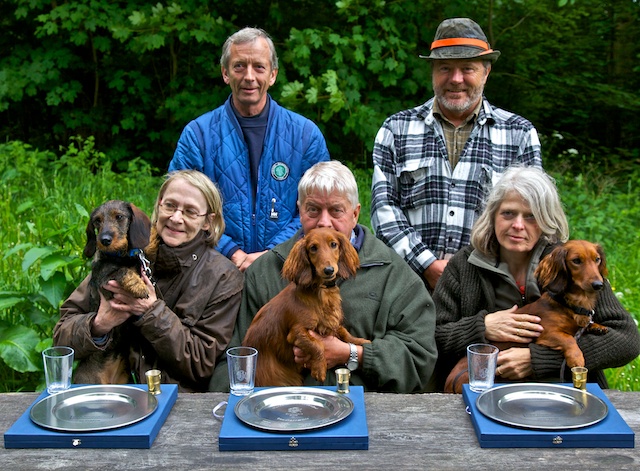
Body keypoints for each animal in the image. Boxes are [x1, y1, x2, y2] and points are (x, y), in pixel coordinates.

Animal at [74, 201, 152, 386]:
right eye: (97, 220)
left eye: (119, 216)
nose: (104, 240)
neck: (120, 257)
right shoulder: (105, 283)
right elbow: (121, 271)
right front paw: (138, 286)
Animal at [241, 228, 370, 388]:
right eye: (313, 248)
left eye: (333, 244)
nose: (329, 270)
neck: (320, 291)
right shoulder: (296, 332)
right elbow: (317, 345)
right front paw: (319, 369)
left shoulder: (331, 324)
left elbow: (345, 333)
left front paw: (360, 341)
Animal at [444, 242, 608, 392]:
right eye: (576, 260)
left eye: (597, 259)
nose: (598, 284)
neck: (570, 304)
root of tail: (449, 383)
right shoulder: (545, 332)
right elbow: (568, 339)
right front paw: (577, 358)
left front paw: (597, 326)